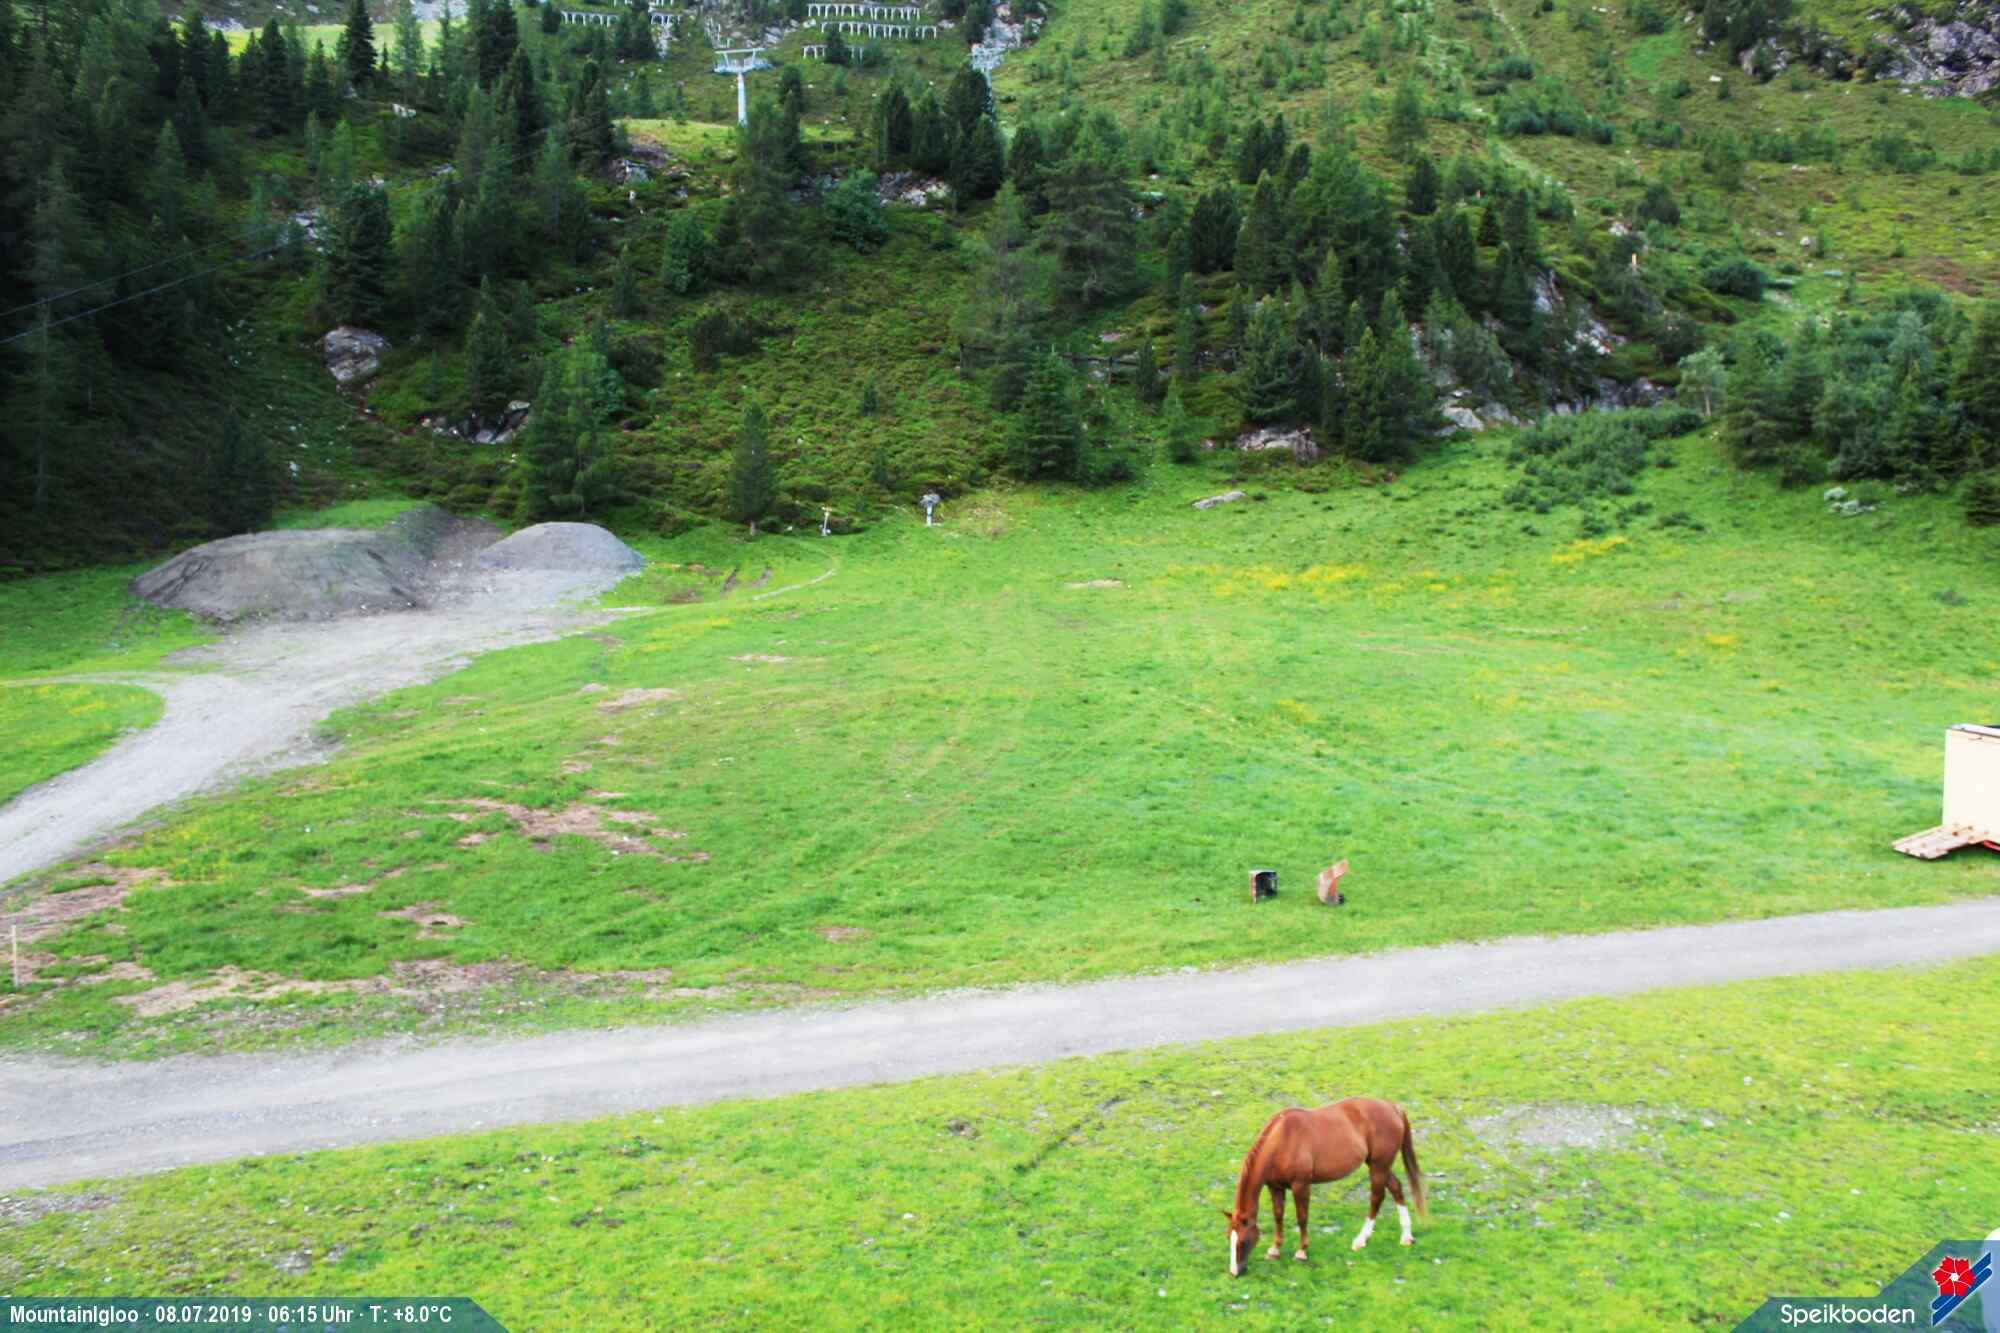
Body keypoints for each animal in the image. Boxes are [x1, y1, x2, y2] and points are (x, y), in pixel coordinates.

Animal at [1222, 1096, 1425, 1277]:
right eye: (1229, 1237)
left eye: (1242, 1242)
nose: (1234, 1273)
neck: (1282, 1141)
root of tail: (1393, 1107)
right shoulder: (1275, 1187)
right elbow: (1278, 1216)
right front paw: (1275, 1249)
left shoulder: (1301, 1185)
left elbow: (1302, 1217)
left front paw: (1302, 1252)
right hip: (1377, 1165)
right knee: (1396, 1188)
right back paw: (1406, 1236)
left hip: (1379, 1166)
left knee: (1377, 1197)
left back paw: (1361, 1239)